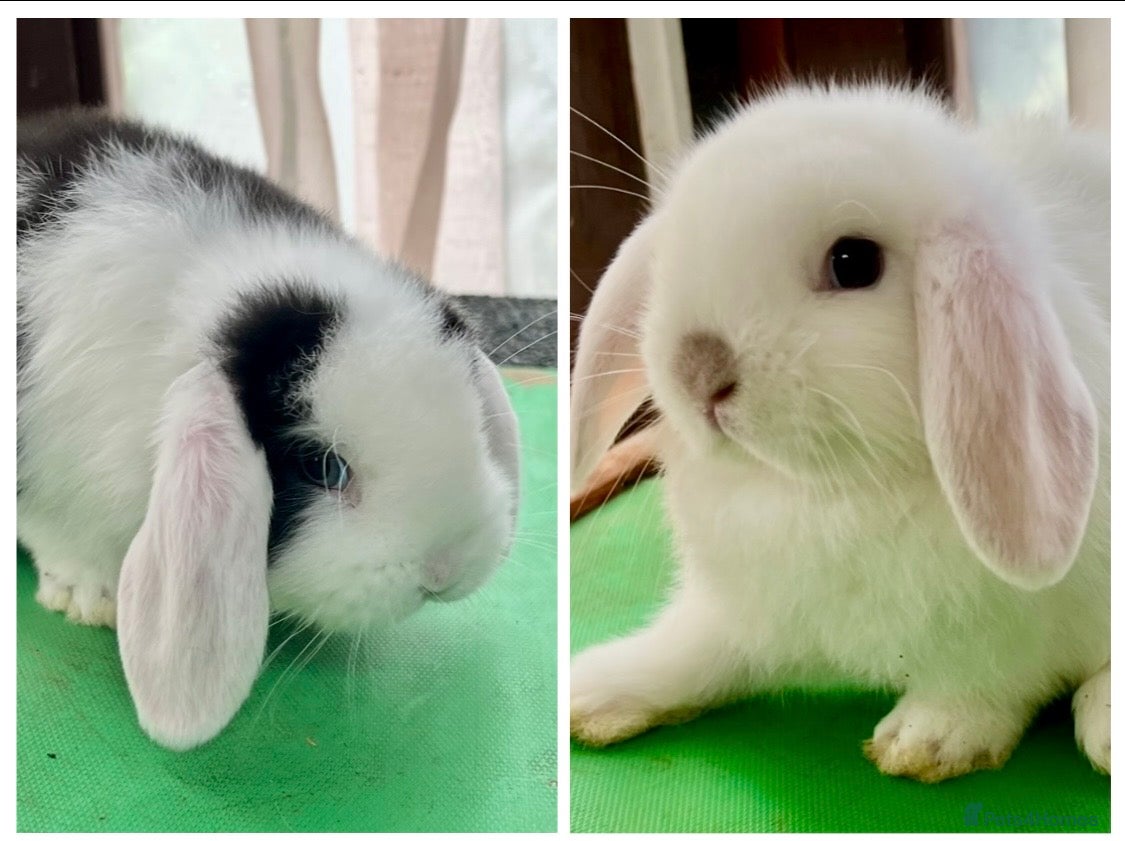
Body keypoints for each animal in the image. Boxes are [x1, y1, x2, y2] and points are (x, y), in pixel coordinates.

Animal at [570, 83, 1109, 783]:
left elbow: (985, 681)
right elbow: (690, 653)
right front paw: (593, 690)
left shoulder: (1006, 636)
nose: (697, 368)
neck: (825, 492)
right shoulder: (738, 609)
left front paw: (926, 740)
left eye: (854, 263)